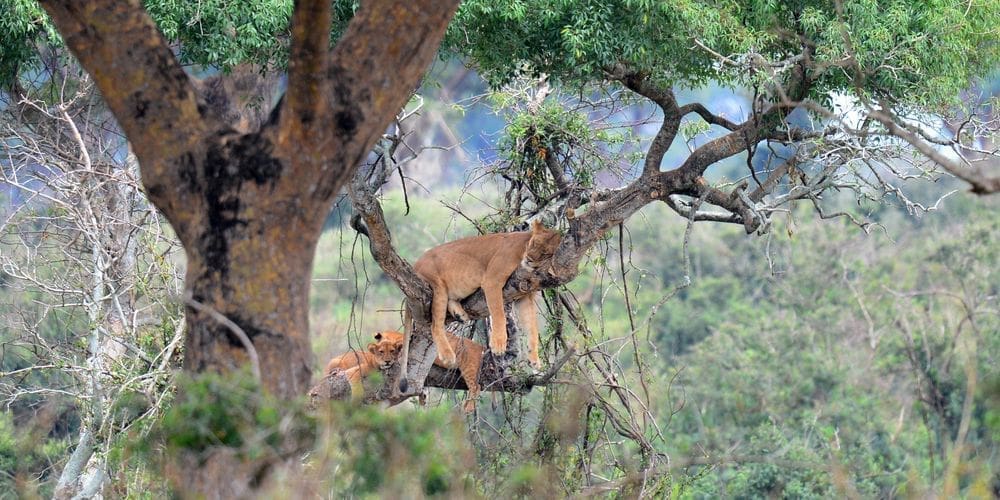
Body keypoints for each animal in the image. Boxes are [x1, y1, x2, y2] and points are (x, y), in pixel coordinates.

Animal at [408, 220, 564, 372]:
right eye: (534, 244)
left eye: (545, 253)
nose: (530, 259)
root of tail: (415, 264)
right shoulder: (492, 280)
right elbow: (499, 314)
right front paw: (498, 344)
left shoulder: (524, 296)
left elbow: (532, 328)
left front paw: (534, 359)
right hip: (437, 286)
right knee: (435, 325)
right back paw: (448, 355)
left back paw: (459, 314)